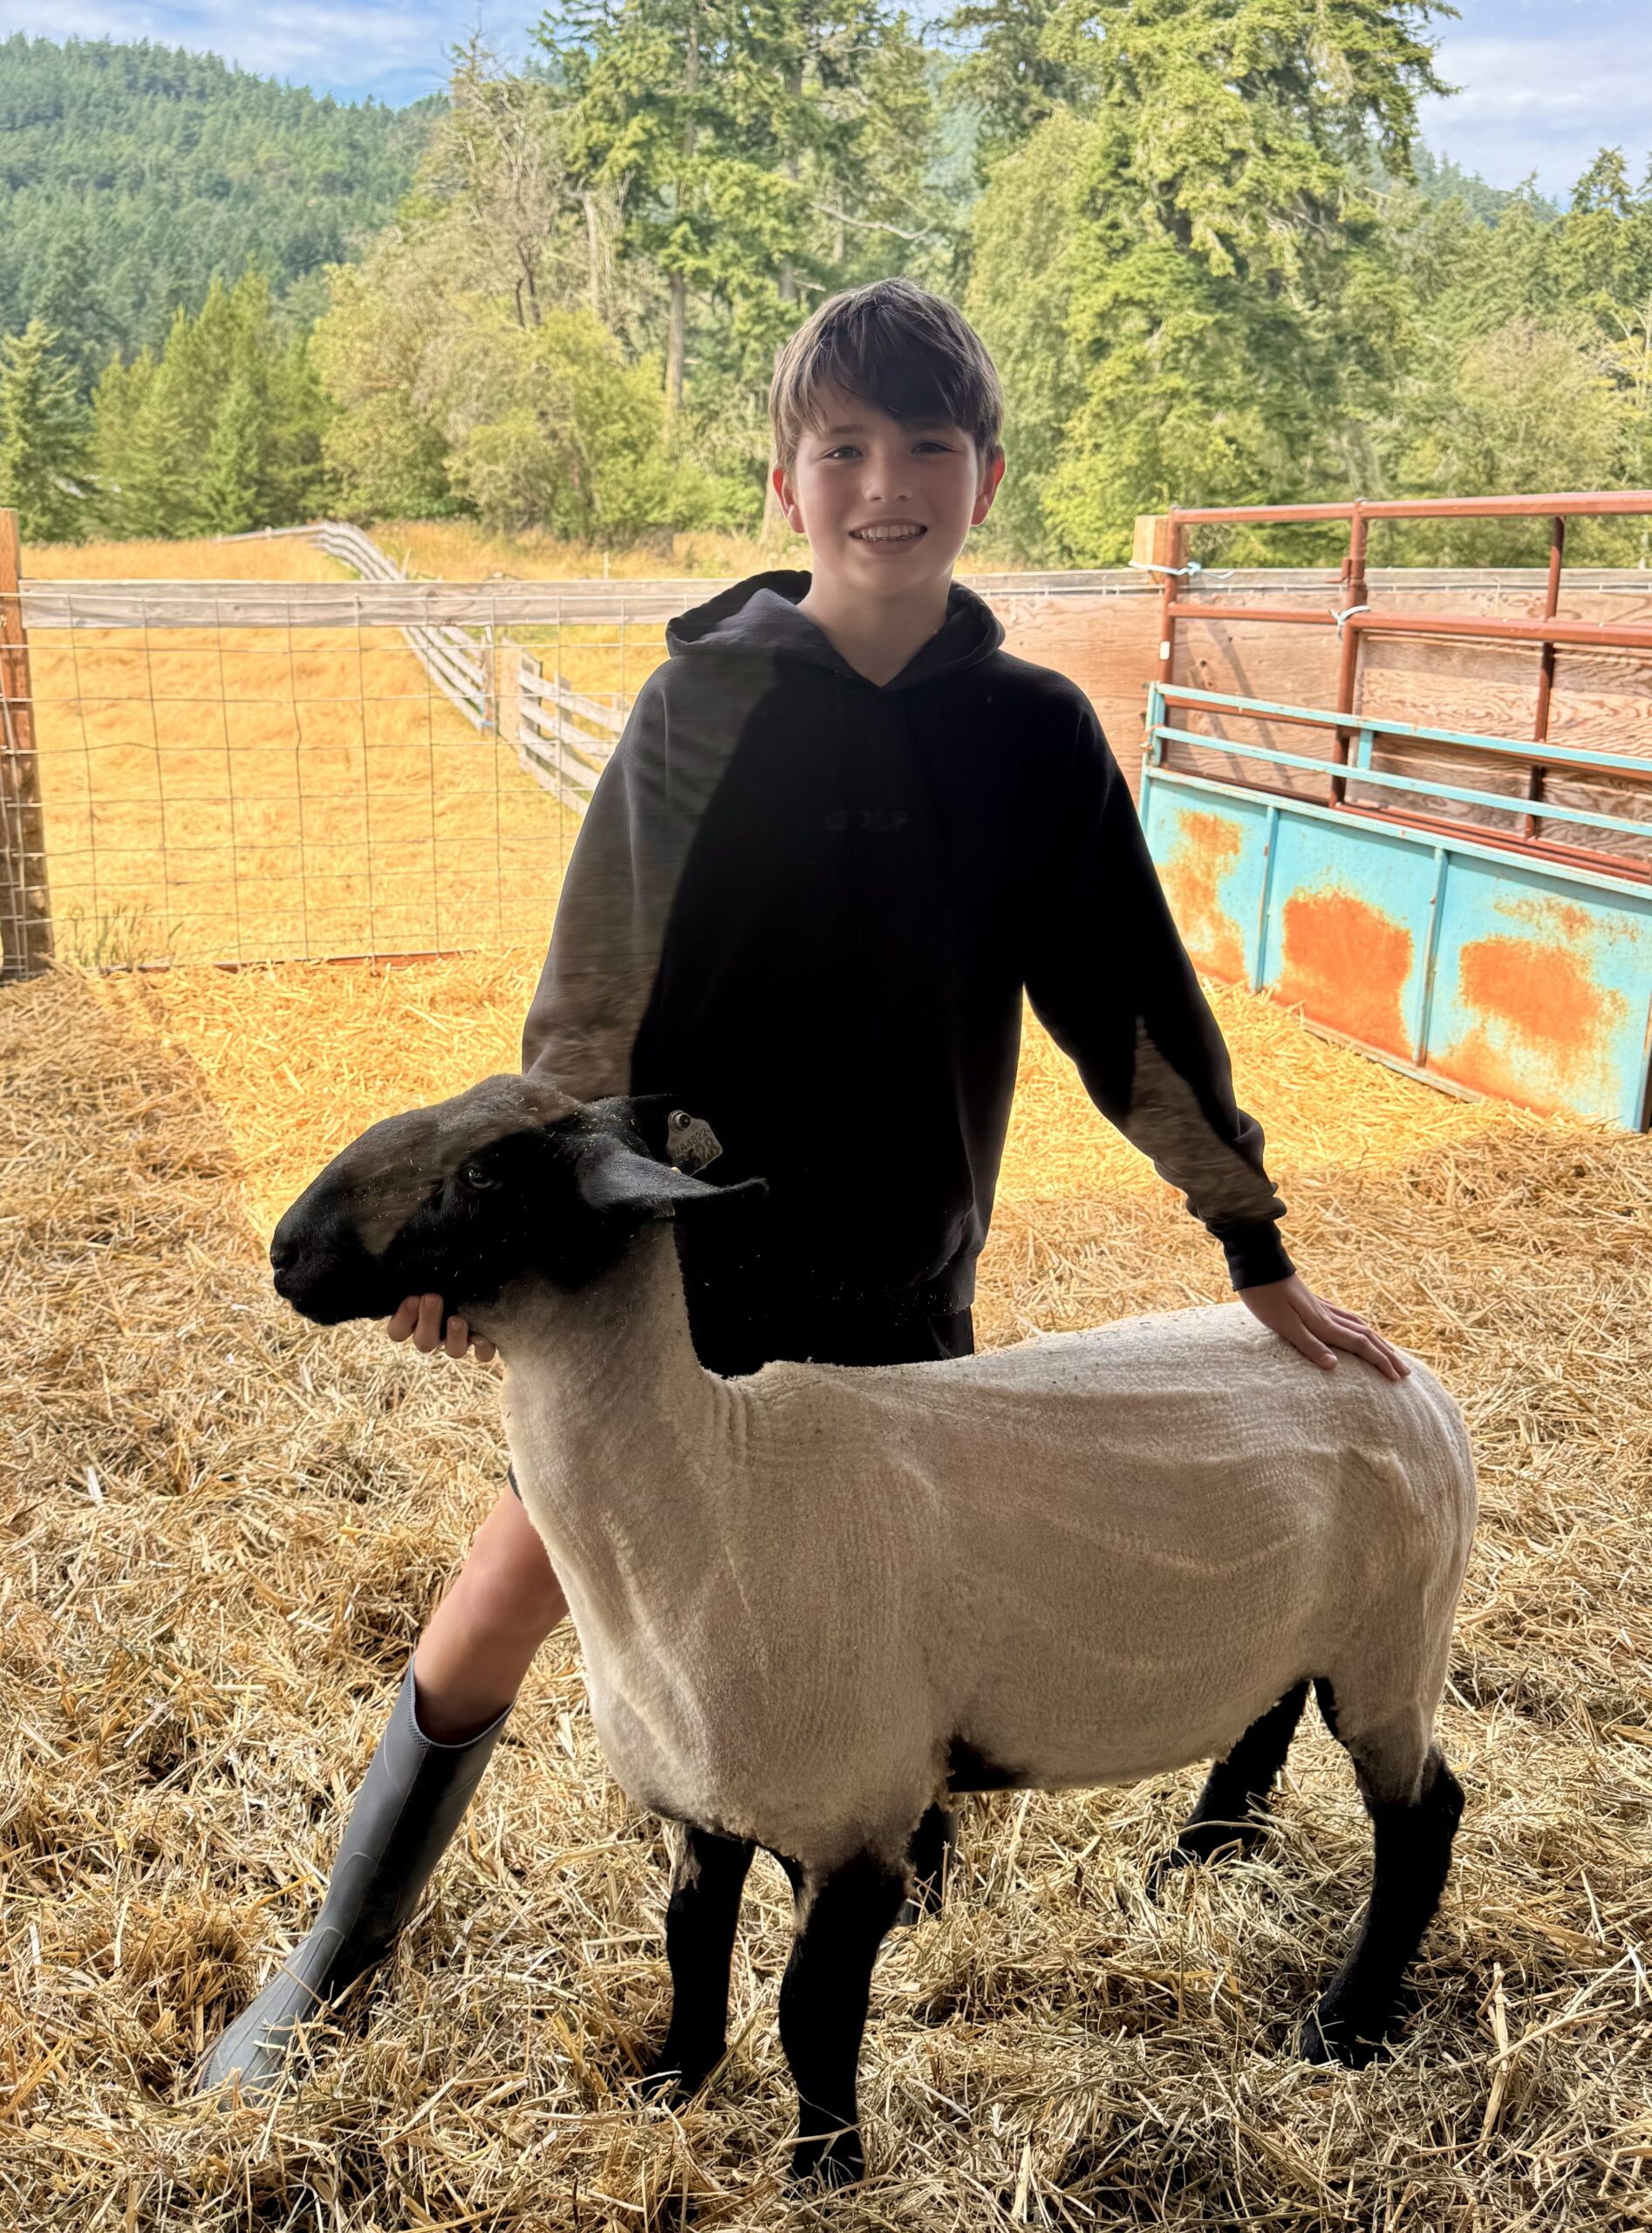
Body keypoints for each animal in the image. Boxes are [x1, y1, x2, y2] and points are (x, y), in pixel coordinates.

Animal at [270, 1075, 1476, 2188]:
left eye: (485, 1174)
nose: (285, 1249)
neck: (709, 1492)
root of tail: (1410, 1374)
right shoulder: (708, 1802)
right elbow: (690, 1948)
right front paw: (673, 2085)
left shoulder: (856, 1824)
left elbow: (810, 2009)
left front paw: (824, 2168)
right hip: (1305, 1625)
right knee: (1266, 1709)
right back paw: (1201, 1854)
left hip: (1394, 1642)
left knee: (1423, 1816)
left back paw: (1343, 2025)